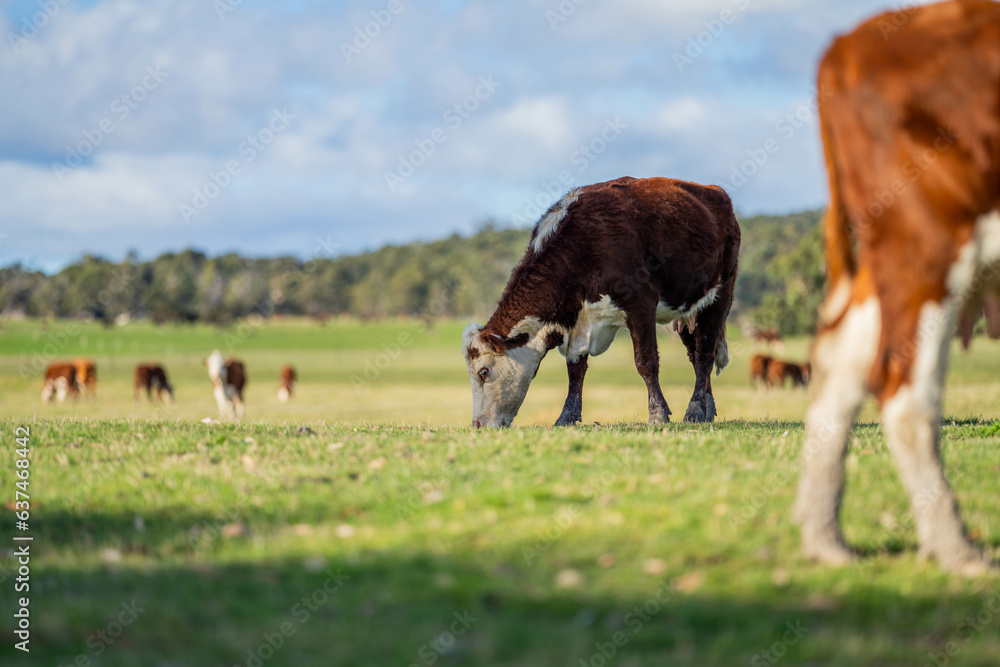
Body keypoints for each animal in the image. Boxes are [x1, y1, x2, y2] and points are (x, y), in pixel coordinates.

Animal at [464, 177, 740, 428]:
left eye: (483, 372)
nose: (477, 424)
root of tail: (715, 191)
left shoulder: (640, 302)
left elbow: (646, 361)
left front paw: (658, 414)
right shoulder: (577, 323)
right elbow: (575, 370)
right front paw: (566, 417)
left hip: (720, 296)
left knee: (705, 353)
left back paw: (695, 410)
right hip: (686, 309)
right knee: (695, 352)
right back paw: (707, 409)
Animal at [792, 0, 996, 576]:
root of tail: (847, 44)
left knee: (841, 364)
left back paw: (827, 540)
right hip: (929, 240)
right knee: (904, 389)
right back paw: (958, 550)